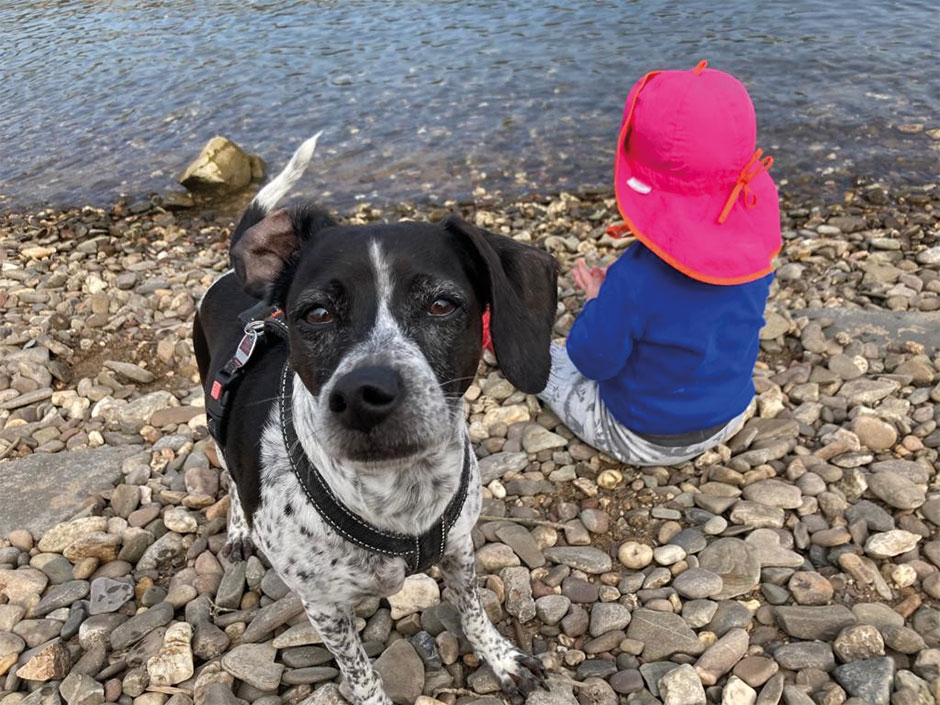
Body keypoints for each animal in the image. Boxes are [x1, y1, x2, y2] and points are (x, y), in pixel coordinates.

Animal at [192, 133, 560, 704]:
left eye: (441, 304)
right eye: (316, 313)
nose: (364, 394)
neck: (400, 494)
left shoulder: (460, 547)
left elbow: (473, 610)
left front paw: (499, 657)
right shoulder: (324, 608)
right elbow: (362, 675)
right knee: (231, 477)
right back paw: (237, 528)